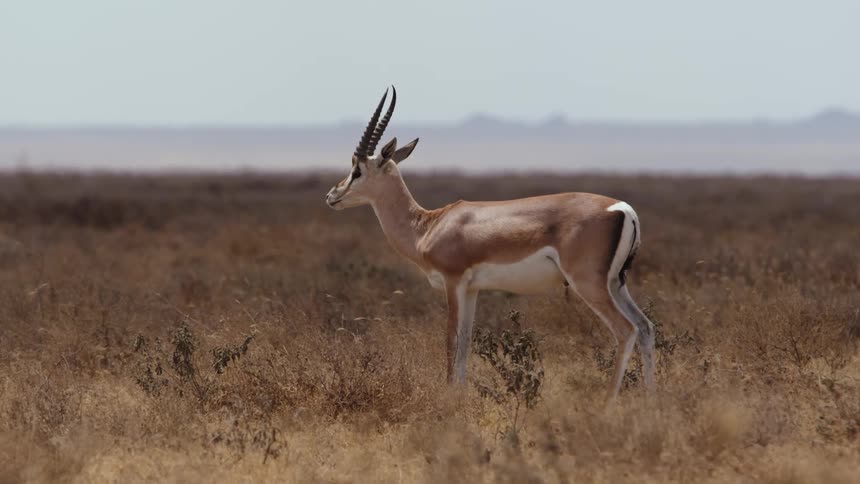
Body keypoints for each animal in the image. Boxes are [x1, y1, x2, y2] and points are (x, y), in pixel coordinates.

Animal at [325, 86, 656, 402]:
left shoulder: (453, 282)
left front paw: (450, 399)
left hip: (588, 284)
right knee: (645, 327)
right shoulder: (472, 289)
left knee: (625, 330)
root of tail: (623, 209)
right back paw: (651, 401)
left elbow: (451, 340)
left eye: (357, 170)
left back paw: (608, 403)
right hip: (615, 284)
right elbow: (465, 342)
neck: (427, 225)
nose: (332, 195)